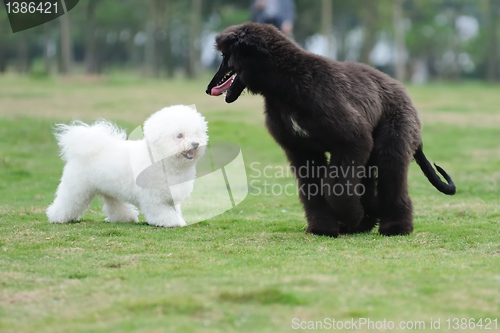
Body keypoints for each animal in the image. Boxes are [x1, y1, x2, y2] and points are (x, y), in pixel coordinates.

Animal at [46, 105, 208, 227]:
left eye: (196, 134)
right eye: (179, 135)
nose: (195, 144)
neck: (161, 159)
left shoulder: (170, 196)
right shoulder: (154, 198)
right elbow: (161, 212)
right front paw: (173, 222)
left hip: (109, 189)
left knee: (114, 204)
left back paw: (125, 218)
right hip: (77, 188)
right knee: (68, 202)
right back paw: (57, 217)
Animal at [205, 21, 456, 236]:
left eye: (226, 55)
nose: (208, 89)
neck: (289, 82)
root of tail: (403, 91)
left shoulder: (352, 139)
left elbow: (336, 187)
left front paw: (350, 216)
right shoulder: (301, 149)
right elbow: (313, 190)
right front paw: (324, 228)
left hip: (391, 143)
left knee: (393, 183)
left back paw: (395, 227)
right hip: (371, 156)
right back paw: (365, 221)